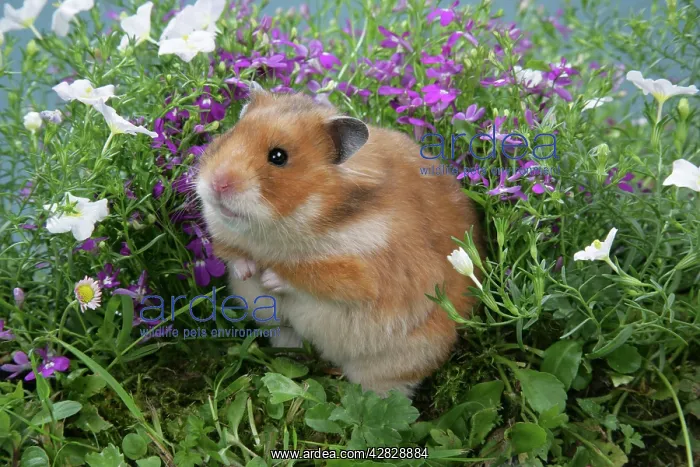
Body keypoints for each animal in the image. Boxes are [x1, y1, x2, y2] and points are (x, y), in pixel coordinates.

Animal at [195, 84, 483, 397]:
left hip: (398, 361)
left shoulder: (365, 273)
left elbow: (313, 275)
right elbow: (232, 253)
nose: (217, 183)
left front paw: (270, 277)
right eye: (231, 133)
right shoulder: (223, 234)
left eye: (278, 156)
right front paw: (248, 271)